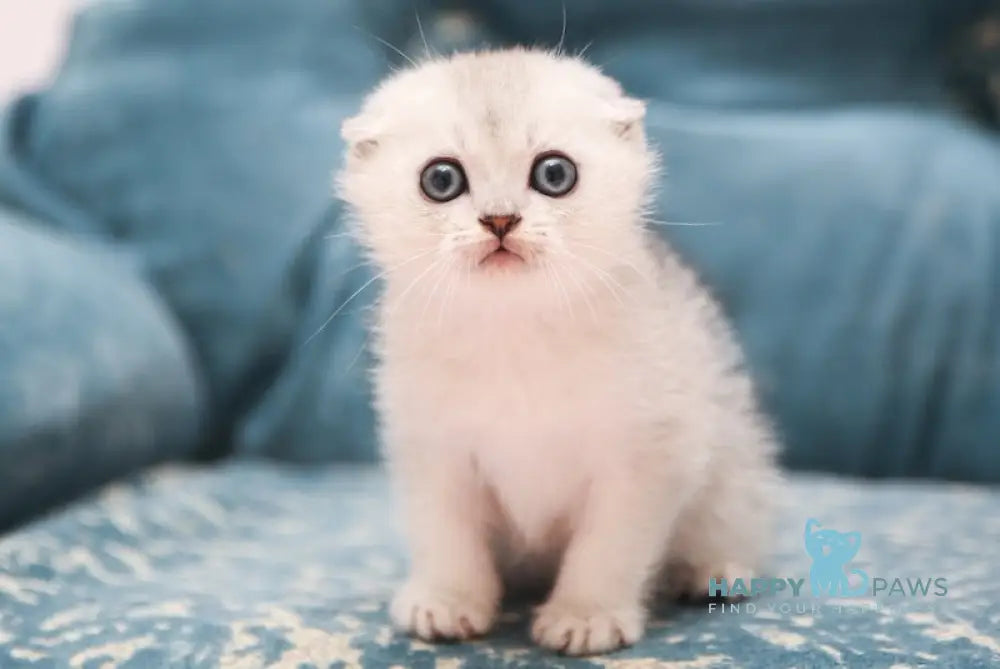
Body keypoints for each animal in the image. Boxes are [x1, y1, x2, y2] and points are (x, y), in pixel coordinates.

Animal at [336, 49, 780, 656]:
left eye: (554, 174)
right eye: (441, 179)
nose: (500, 220)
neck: (515, 327)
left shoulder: (649, 452)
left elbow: (609, 543)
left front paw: (585, 615)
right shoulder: (433, 449)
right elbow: (445, 530)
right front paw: (446, 600)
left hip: (732, 458)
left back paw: (711, 571)